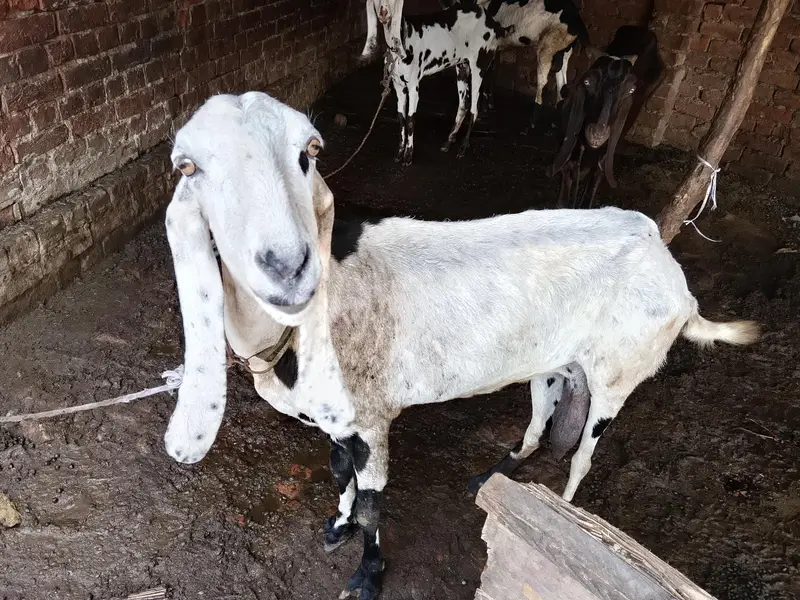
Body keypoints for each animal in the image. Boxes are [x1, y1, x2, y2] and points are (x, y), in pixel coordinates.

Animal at [163, 92, 759, 600]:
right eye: (187, 167)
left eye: (310, 151)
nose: (286, 266)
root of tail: (668, 266)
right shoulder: (337, 417)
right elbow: (338, 470)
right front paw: (337, 525)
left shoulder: (371, 418)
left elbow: (373, 502)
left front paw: (368, 573)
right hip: (550, 360)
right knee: (539, 420)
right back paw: (498, 471)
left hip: (618, 373)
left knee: (584, 456)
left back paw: (566, 517)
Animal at [362, 0, 513, 165]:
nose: (383, 13)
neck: (403, 37)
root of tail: (493, 24)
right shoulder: (399, 86)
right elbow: (401, 118)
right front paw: (399, 152)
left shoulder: (413, 87)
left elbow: (410, 120)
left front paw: (408, 156)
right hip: (462, 68)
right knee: (463, 104)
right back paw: (448, 141)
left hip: (478, 68)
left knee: (474, 109)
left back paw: (463, 148)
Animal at [552, 25, 665, 208]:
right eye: (587, 82)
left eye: (631, 90)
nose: (598, 134)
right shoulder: (567, 155)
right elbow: (562, 201)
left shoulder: (602, 161)